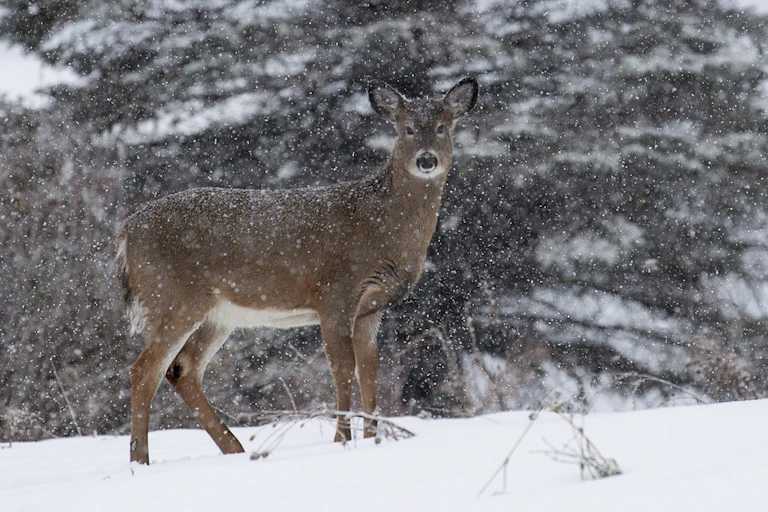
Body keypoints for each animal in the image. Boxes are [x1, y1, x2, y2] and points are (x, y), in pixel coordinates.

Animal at [115, 77, 478, 464]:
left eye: (442, 127)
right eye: (406, 128)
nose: (426, 159)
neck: (381, 225)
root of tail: (126, 232)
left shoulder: (371, 307)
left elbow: (370, 369)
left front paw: (373, 438)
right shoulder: (335, 292)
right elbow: (343, 367)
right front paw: (342, 440)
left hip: (217, 315)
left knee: (181, 370)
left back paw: (235, 449)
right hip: (173, 298)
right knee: (144, 370)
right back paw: (140, 460)